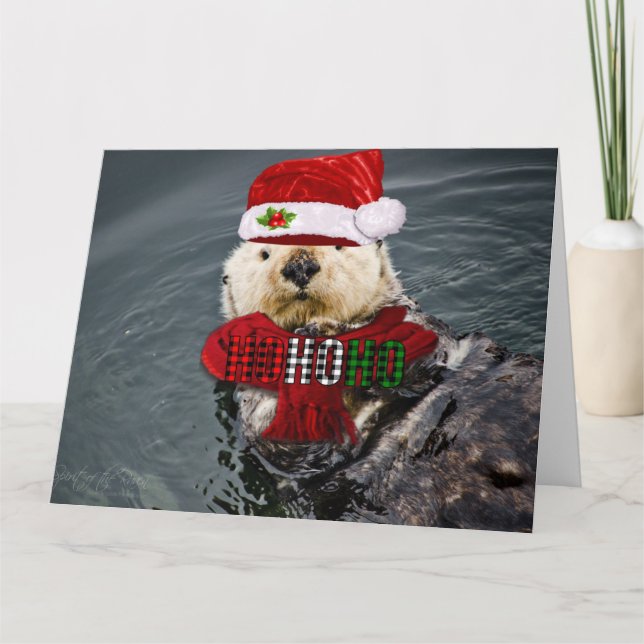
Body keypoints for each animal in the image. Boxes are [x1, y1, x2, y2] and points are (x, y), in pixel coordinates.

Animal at [210, 240, 540, 532]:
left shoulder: (420, 324)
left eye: (338, 245)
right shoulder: (254, 405)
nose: (300, 265)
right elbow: (289, 442)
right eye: (264, 254)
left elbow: (422, 345)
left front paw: (330, 335)